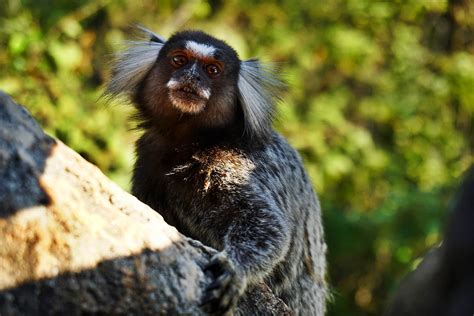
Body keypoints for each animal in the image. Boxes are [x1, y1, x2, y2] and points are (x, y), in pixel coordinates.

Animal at [105, 27, 326, 316]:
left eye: (212, 70)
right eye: (179, 60)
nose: (192, 76)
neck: (189, 141)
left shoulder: (238, 166)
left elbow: (269, 226)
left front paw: (234, 270)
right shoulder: (148, 157)